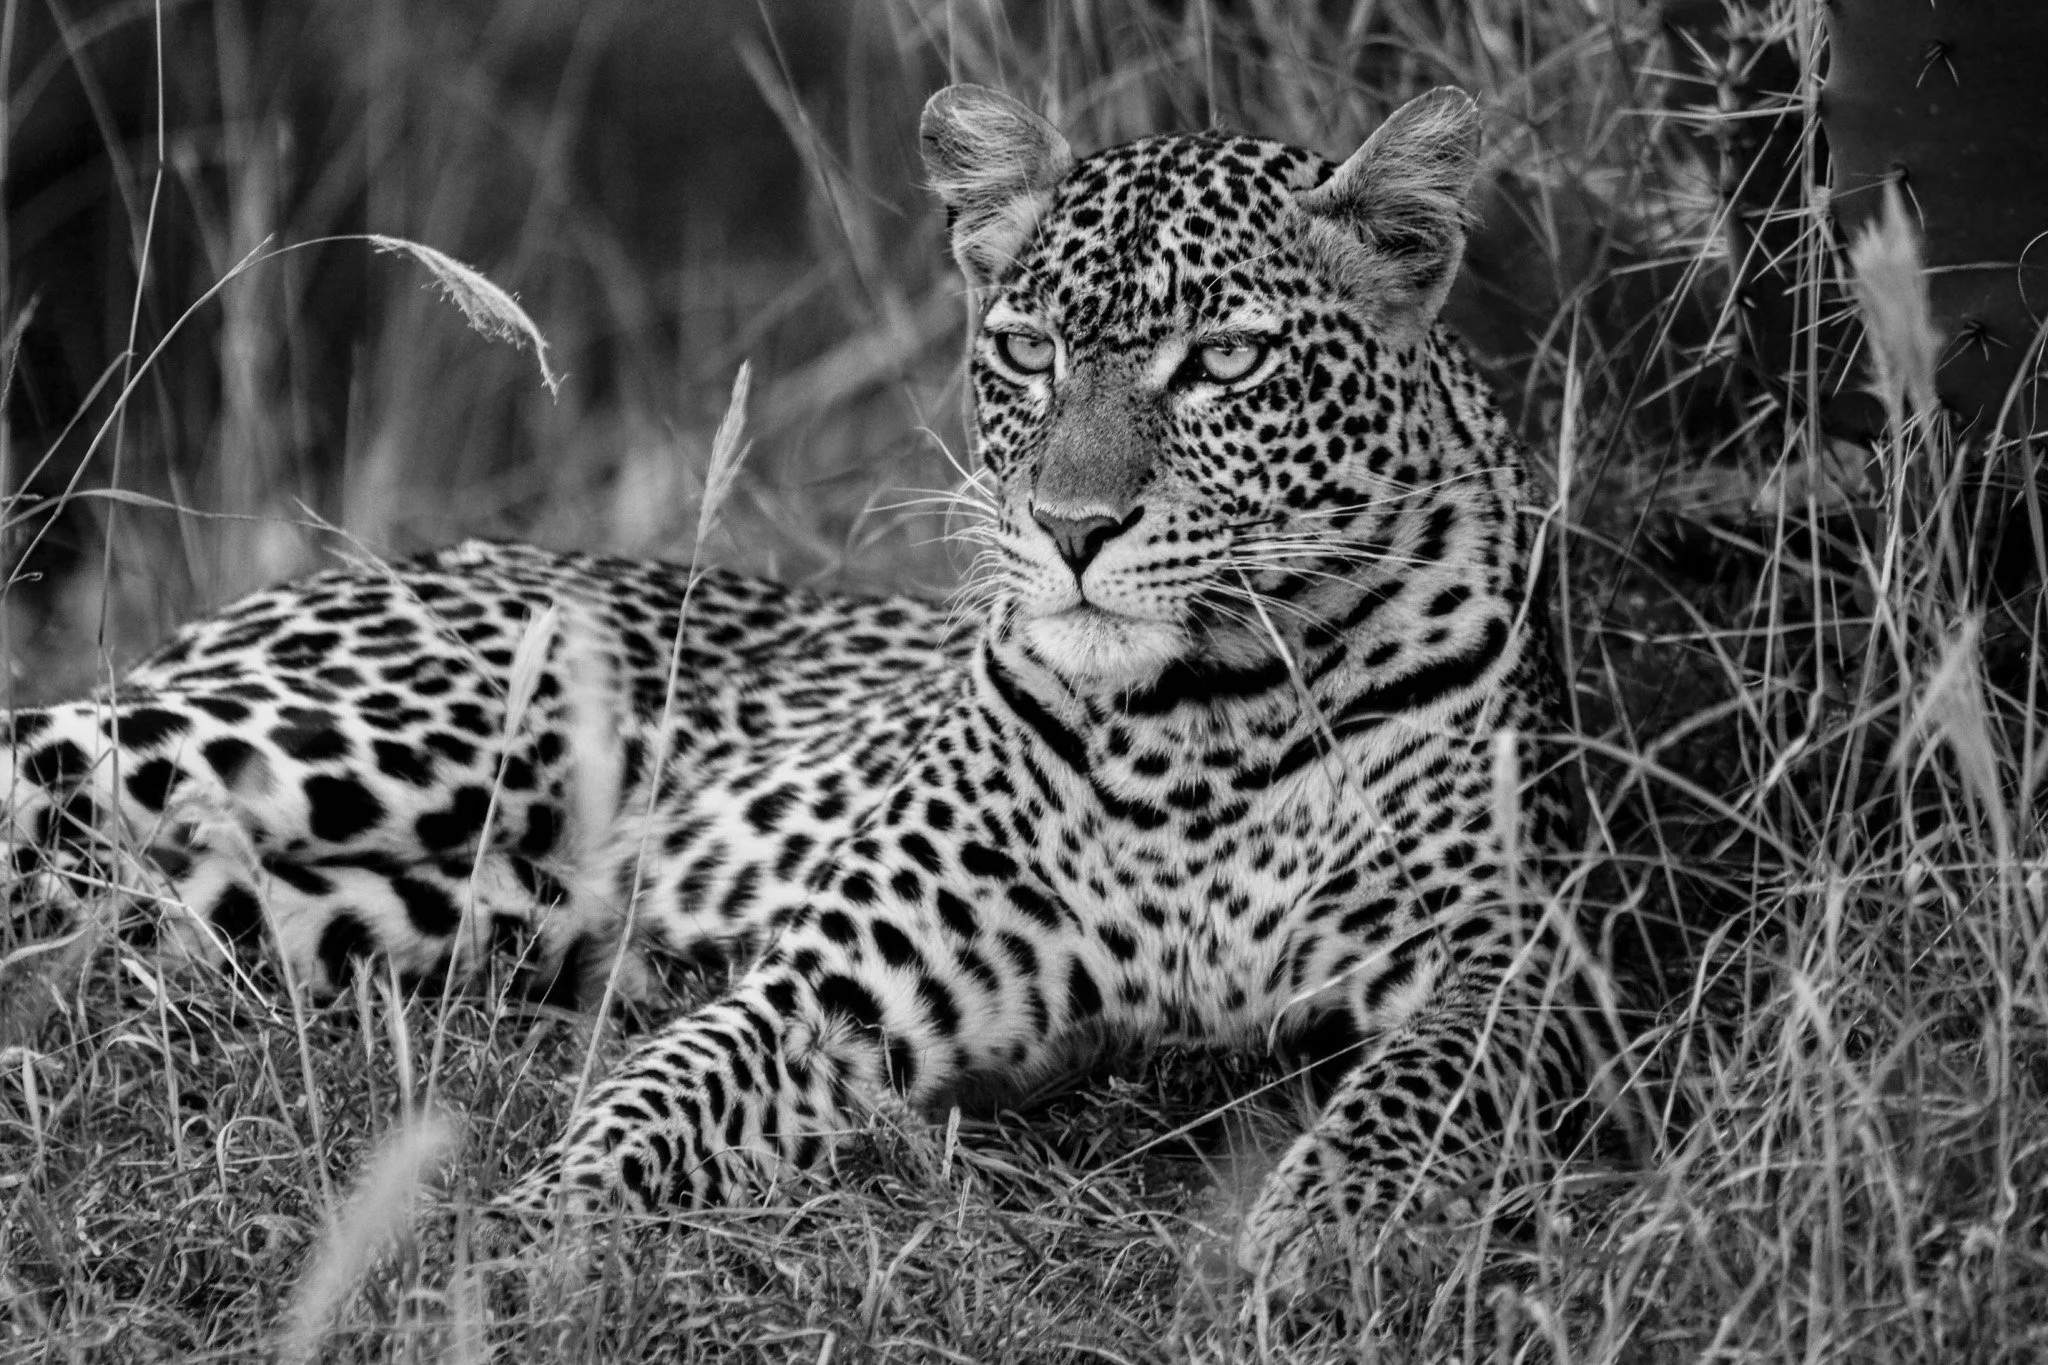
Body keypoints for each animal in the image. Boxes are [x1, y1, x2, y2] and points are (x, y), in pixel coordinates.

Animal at [0, 83, 1585, 1288]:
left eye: (1228, 362)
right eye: (1025, 352)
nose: (1072, 530)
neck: (1199, 717)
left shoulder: (1520, 966)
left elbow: (1410, 1103)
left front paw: (1329, 1234)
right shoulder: (838, 985)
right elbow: (661, 1095)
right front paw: (526, 1229)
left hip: (315, 912)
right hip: (322, 734)